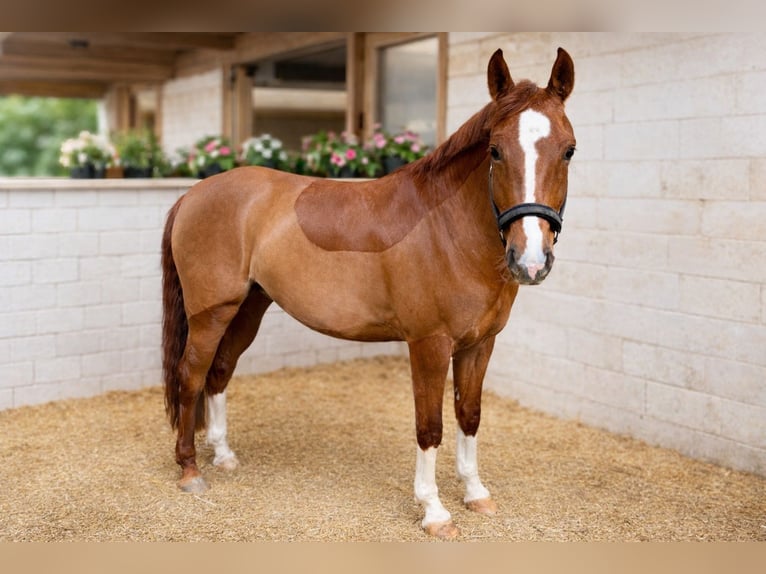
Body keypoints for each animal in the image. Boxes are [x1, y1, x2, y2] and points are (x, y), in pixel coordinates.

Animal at [161, 47, 575, 539]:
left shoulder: (479, 344)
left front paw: (476, 493)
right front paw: (434, 511)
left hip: (248, 307)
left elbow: (469, 415)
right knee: (190, 375)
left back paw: (224, 456)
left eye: (568, 150)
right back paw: (190, 470)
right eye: (495, 150)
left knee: (219, 372)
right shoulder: (429, 345)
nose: (529, 259)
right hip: (210, 313)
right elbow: (429, 426)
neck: (446, 229)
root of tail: (193, 194)